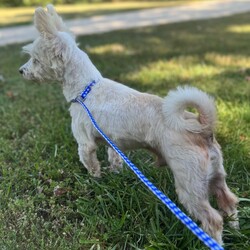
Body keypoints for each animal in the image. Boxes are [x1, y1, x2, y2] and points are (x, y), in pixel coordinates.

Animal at [19, 4, 238, 245]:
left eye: (35, 60)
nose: (21, 71)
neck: (86, 89)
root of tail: (202, 127)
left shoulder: (85, 145)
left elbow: (91, 166)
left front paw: (95, 181)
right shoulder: (113, 144)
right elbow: (114, 161)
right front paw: (114, 175)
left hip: (190, 185)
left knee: (213, 219)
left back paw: (214, 240)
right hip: (215, 177)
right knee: (230, 203)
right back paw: (236, 230)